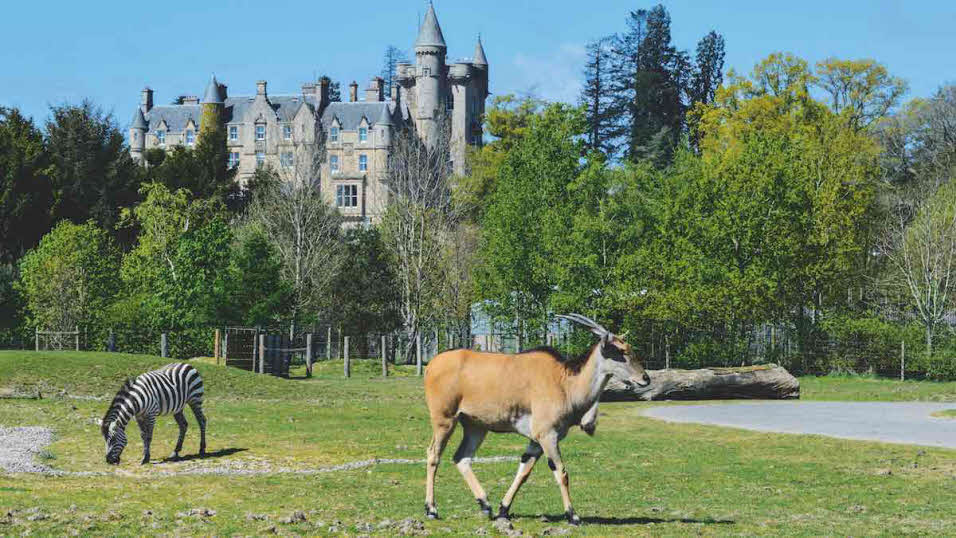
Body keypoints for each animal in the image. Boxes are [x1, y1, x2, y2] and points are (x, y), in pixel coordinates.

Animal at [424, 312, 648, 520]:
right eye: (620, 351)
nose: (645, 378)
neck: (564, 382)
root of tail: (432, 364)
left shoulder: (536, 440)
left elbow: (524, 471)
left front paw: (503, 509)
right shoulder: (547, 436)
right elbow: (561, 472)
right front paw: (572, 515)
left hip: (476, 427)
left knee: (461, 457)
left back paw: (486, 504)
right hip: (445, 420)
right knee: (434, 454)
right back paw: (431, 509)